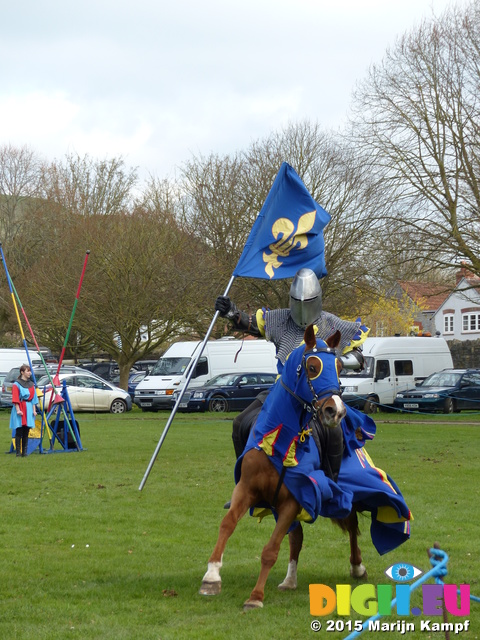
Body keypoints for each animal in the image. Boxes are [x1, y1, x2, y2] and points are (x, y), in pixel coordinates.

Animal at [199, 324, 364, 608]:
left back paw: (357, 566)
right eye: (313, 367)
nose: (336, 411)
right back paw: (290, 580)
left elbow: (270, 550)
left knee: (351, 522)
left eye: (340, 367)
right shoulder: (247, 489)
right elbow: (227, 524)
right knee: (297, 538)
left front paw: (255, 597)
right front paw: (211, 576)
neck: (281, 442)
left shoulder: (294, 499)